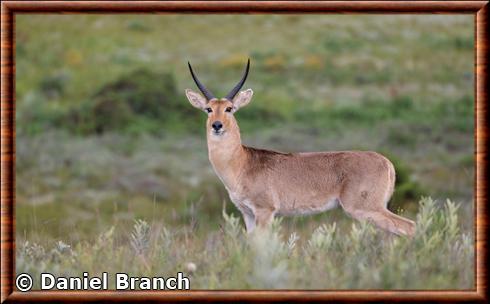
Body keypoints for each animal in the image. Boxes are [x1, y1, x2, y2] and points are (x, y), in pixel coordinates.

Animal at [186, 58, 416, 235]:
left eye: (230, 108)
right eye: (208, 109)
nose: (217, 125)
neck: (242, 163)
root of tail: (386, 162)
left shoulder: (265, 210)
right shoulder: (247, 214)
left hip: (365, 208)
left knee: (409, 227)